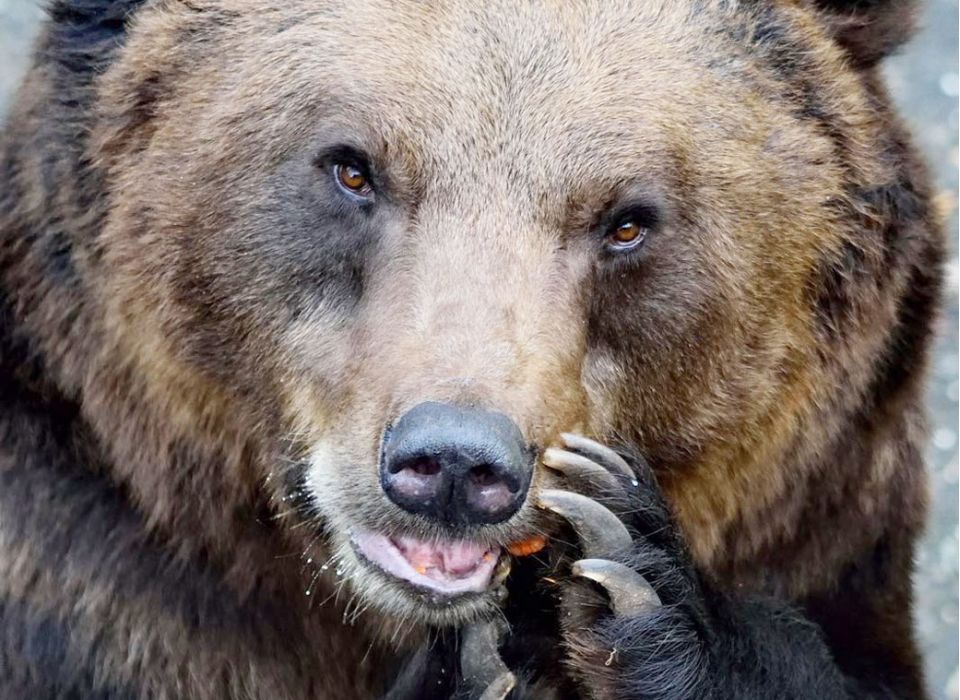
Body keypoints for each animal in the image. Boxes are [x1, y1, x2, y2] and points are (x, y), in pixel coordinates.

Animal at [0, 0, 945, 698]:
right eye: (351, 168)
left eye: (628, 221)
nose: (455, 462)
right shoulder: (107, 587)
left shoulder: (824, 526)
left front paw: (637, 579)